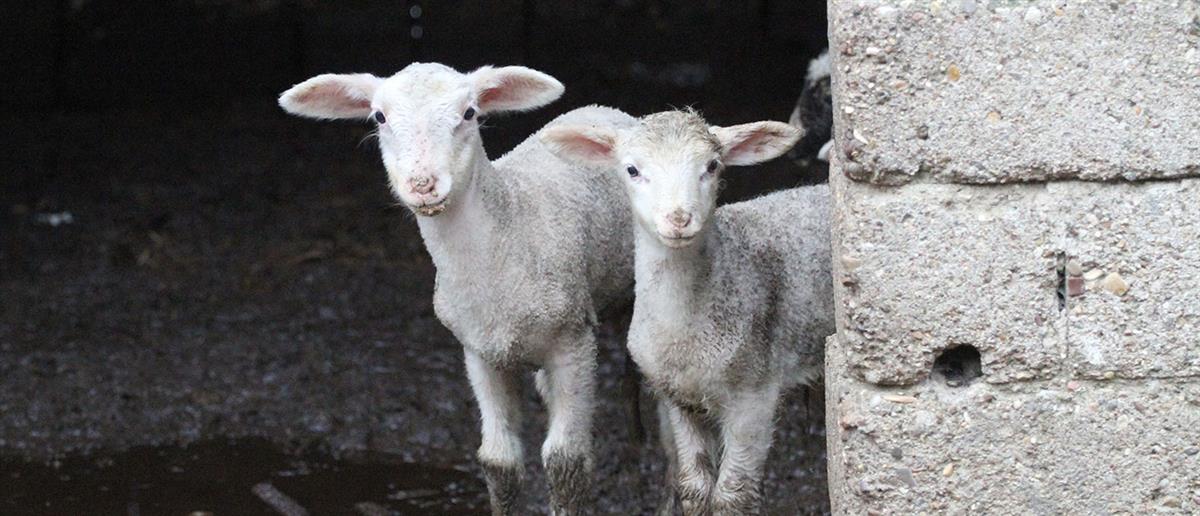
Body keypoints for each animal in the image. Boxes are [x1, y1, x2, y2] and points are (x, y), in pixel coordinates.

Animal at [278, 63, 638, 515]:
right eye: (379, 117)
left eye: (469, 113)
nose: (423, 184)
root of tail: (605, 109)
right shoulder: (479, 350)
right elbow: (499, 462)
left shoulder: (573, 340)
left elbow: (565, 463)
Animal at [542, 109, 834, 515]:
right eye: (632, 169)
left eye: (712, 166)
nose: (678, 219)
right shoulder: (678, 397)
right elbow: (694, 488)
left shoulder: (754, 394)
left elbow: (733, 494)